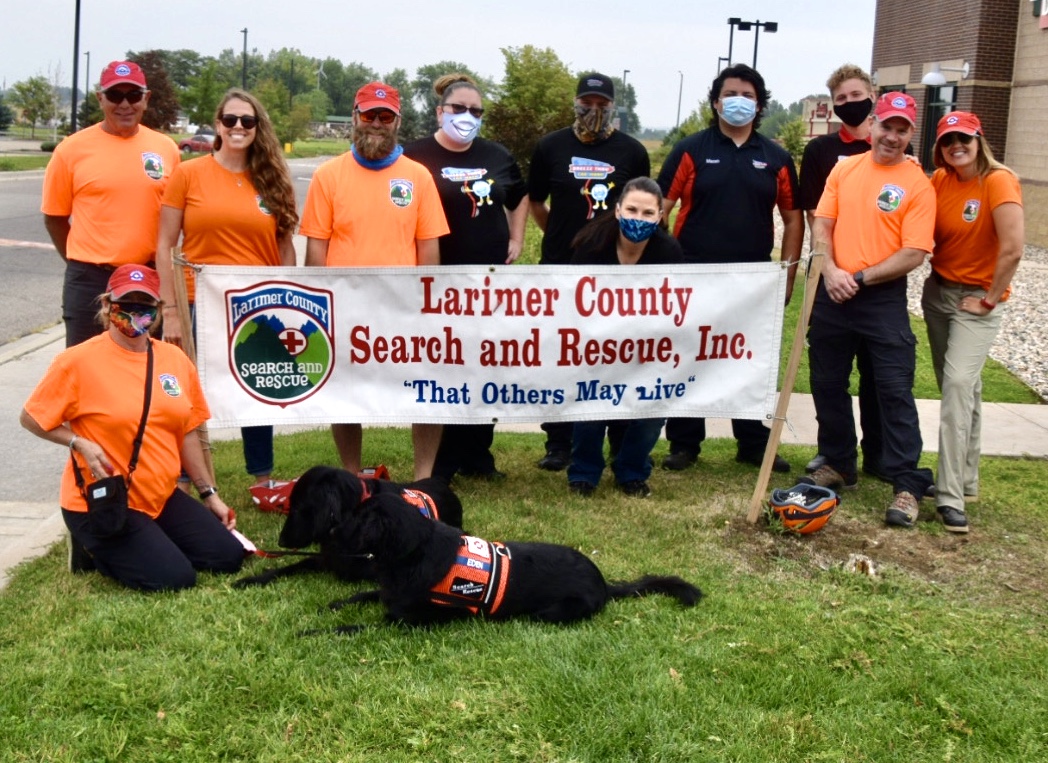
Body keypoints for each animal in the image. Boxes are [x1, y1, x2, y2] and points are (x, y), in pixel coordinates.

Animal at [320, 488, 704, 633]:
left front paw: (316, 631)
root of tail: (603, 582)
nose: (331, 530)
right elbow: (364, 594)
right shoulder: (391, 594)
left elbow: (351, 627)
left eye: (357, 519)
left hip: (551, 612)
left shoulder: (406, 621)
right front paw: (335, 604)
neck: (412, 551)